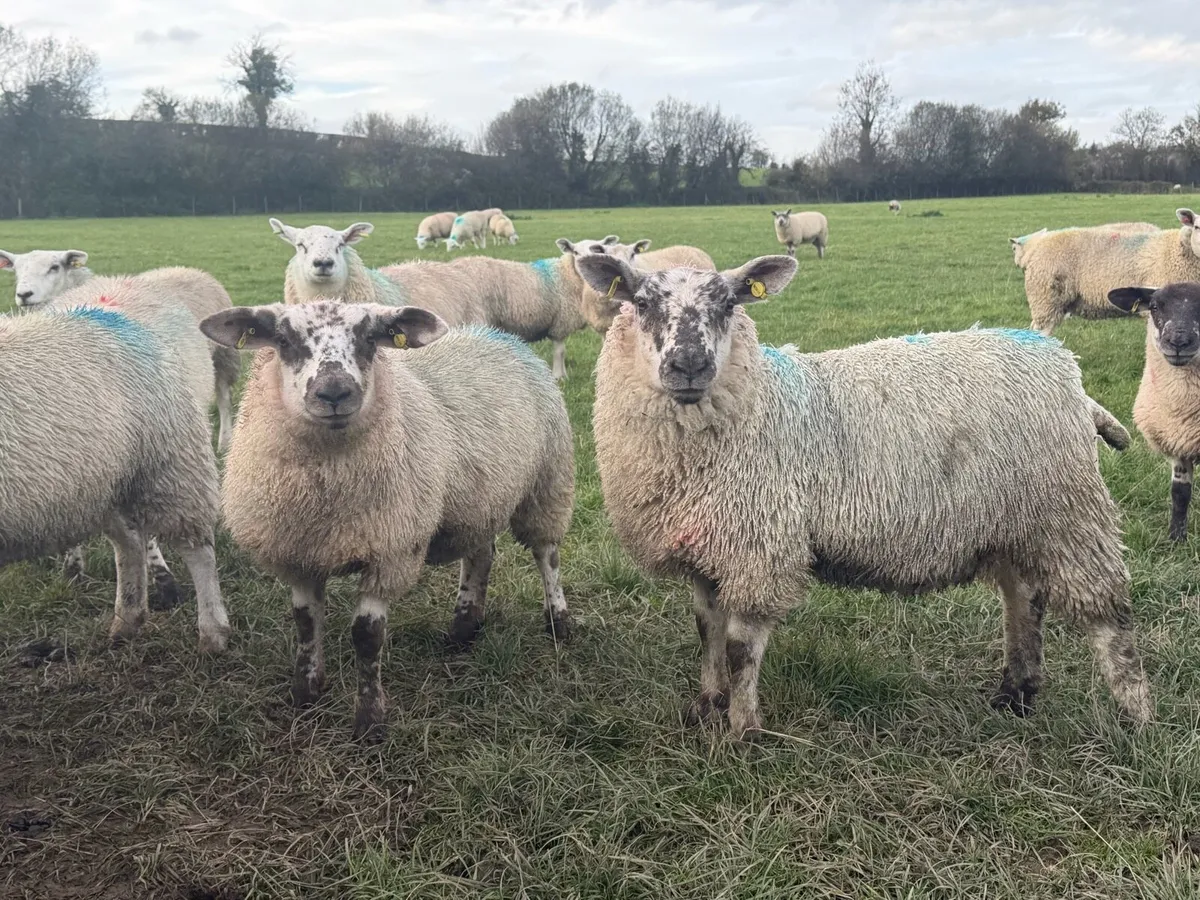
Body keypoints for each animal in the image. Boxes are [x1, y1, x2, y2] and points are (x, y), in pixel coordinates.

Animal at [0, 251, 238, 455]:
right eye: (17, 269)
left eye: (54, 267)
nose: (24, 295)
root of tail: (186, 269)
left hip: (223, 356)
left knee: (224, 400)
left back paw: (224, 442)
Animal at [0, 284, 231, 653]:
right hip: (107, 485)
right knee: (130, 543)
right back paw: (127, 621)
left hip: (166, 467)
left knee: (197, 550)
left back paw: (213, 633)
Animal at [200, 300, 574, 739]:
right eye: (283, 340)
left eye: (369, 339)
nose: (334, 393)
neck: (327, 490)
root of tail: (495, 334)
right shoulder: (299, 553)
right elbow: (306, 623)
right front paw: (305, 693)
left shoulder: (390, 550)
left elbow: (366, 636)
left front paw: (369, 721)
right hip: (480, 497)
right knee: (481, 555)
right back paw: (465, 628)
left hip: (548, 480)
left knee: (547, 555)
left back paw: (559, 622)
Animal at [573, 251, 1151, 740]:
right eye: (640, 303)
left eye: (729, 303)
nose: (690, 365)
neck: (758, 401)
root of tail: (1067, 371)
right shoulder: (704, 548)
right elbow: (706, 631)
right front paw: (706, 706)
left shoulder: (760, 547)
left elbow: (740, 648)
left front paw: (743, 731)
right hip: (1015, 519)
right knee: (1024, 599)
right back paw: (1016, 695)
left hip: (1070, 512)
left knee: (1110, 617)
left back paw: (1134, 717)